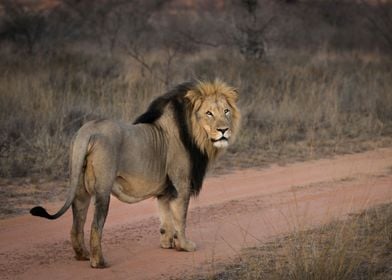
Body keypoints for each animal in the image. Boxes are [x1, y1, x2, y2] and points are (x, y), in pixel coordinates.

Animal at [29, 80, 239, 268]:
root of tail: (86, 131)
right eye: (209, 113)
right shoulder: (181, 184)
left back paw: (83, 255)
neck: (195, 134)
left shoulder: (165, 190)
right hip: (103, 189)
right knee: (95, 226)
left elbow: (165, 217)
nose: (224, 130)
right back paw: (99, 262)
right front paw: (185, 246)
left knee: (77, 225)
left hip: (80, 188)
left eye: (226, 111)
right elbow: (180, 218)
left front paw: (167, 244)